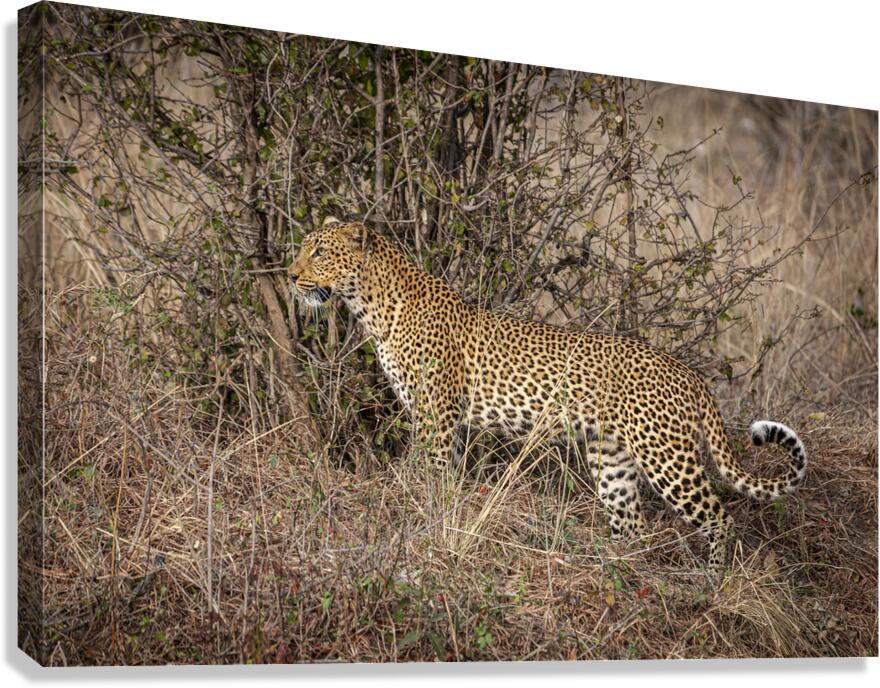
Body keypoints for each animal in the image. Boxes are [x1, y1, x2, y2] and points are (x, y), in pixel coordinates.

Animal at [289, 220, 808, 568]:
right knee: (633, 524)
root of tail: (691, 374)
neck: (370, 305)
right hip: (611, 458)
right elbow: (446, 481)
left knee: (719, 518)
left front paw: (413, 523)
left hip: (667, 457)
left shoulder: (436, 418)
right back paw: (617, 567)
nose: (291, 276)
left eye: (319, 252)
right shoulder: (445, 423)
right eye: (303, 250)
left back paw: (714, 581)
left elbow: (425, 477)